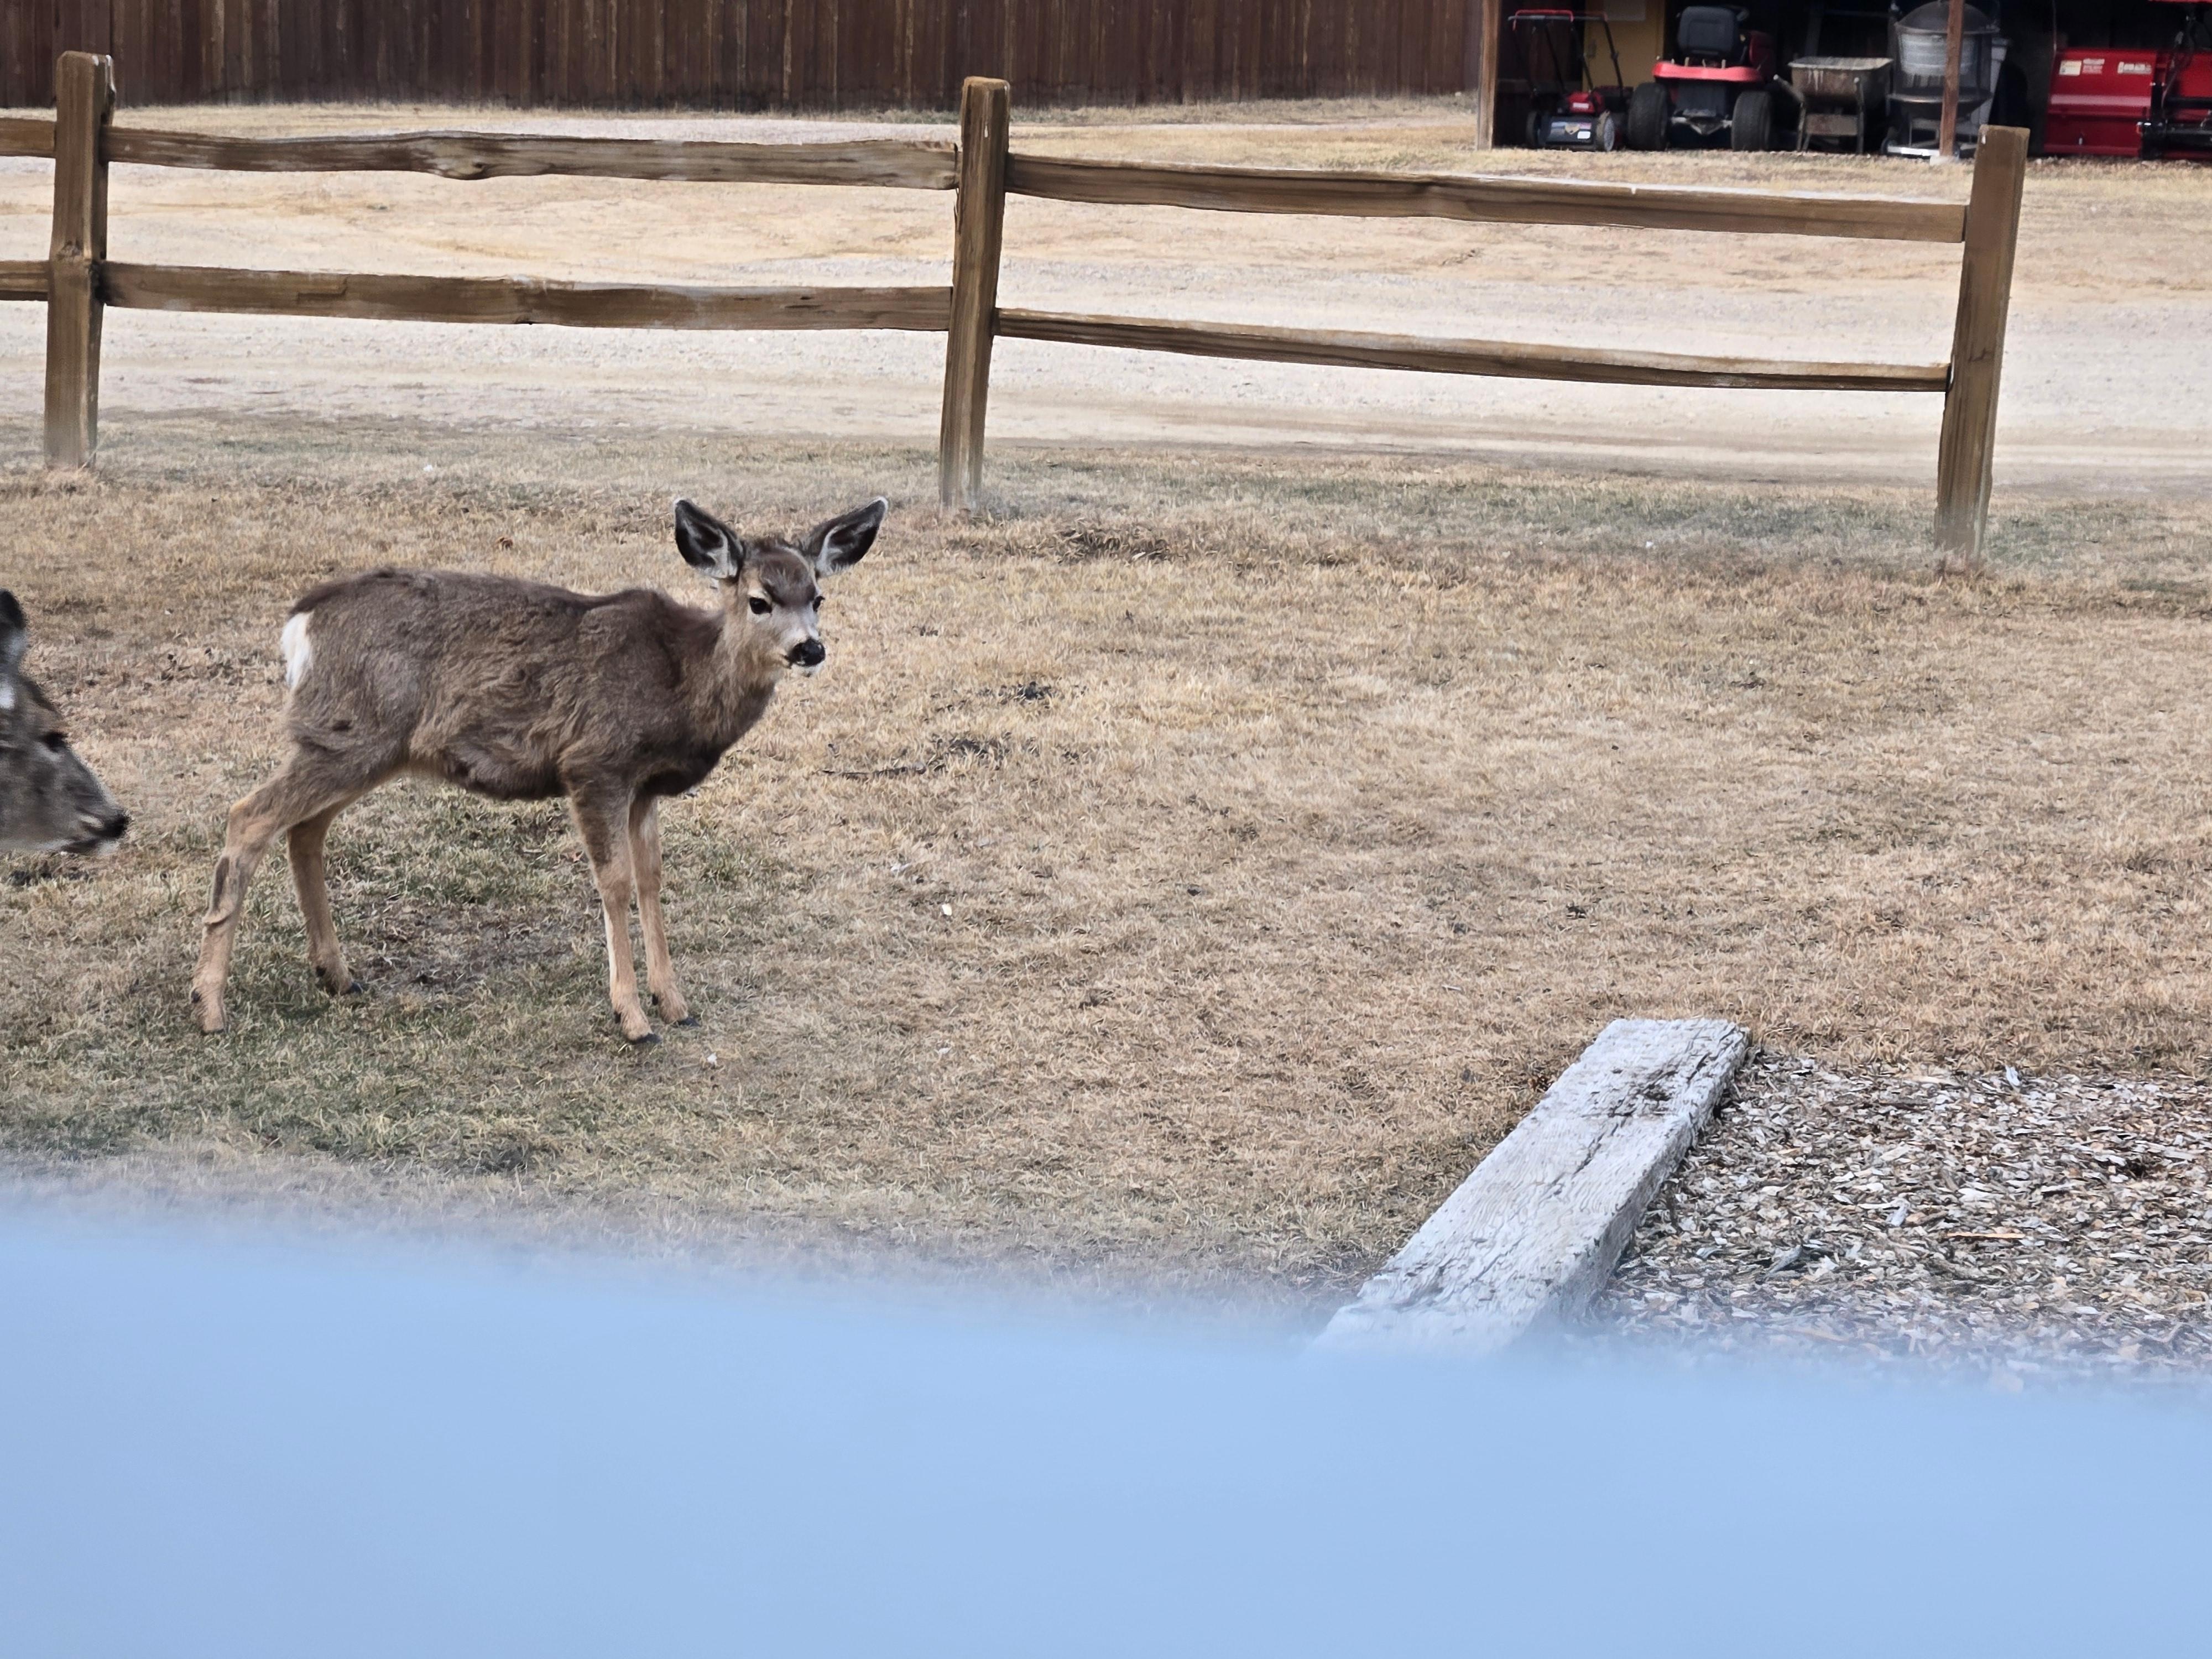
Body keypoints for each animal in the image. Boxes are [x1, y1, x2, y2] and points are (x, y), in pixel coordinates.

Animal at [190, 496, 886, 1043]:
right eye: (760, 601)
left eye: (818, 596)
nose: (810, 648)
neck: (681, 681)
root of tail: (299, 624)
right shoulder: (595, 762)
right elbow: (614, 882)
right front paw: (633, 1018)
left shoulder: (645, 788)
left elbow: (652, 879)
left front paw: (676, 1003)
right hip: (352, 733)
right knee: (248, 816)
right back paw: (210, 1004)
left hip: (366, 744)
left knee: (304, 829)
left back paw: (335, 976)